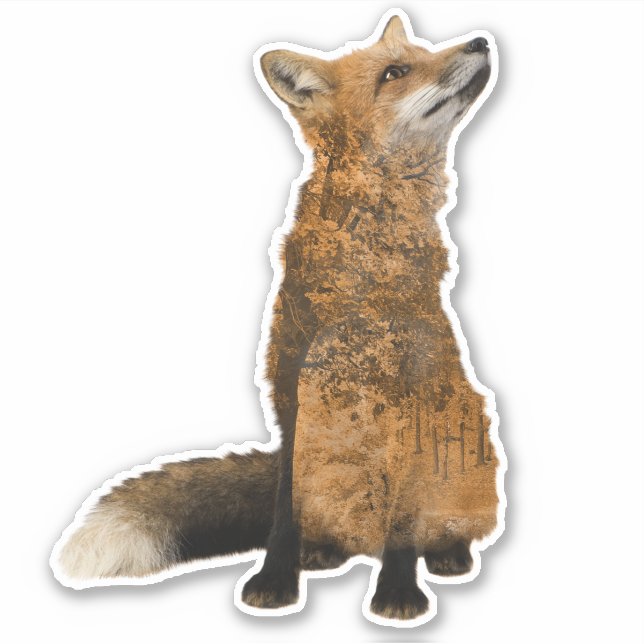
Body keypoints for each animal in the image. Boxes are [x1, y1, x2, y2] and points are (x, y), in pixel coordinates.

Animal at [52, 10, 506, 626]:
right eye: (396, 71)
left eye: (422, 52)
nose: (480, 41)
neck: (363, 277)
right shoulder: (291, 388)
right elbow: (283, 514)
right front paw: (275, 580)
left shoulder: (413, 397)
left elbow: (403, 520)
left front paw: (397, 591)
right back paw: (324, 550)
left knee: (430, 523)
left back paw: (446, 554)